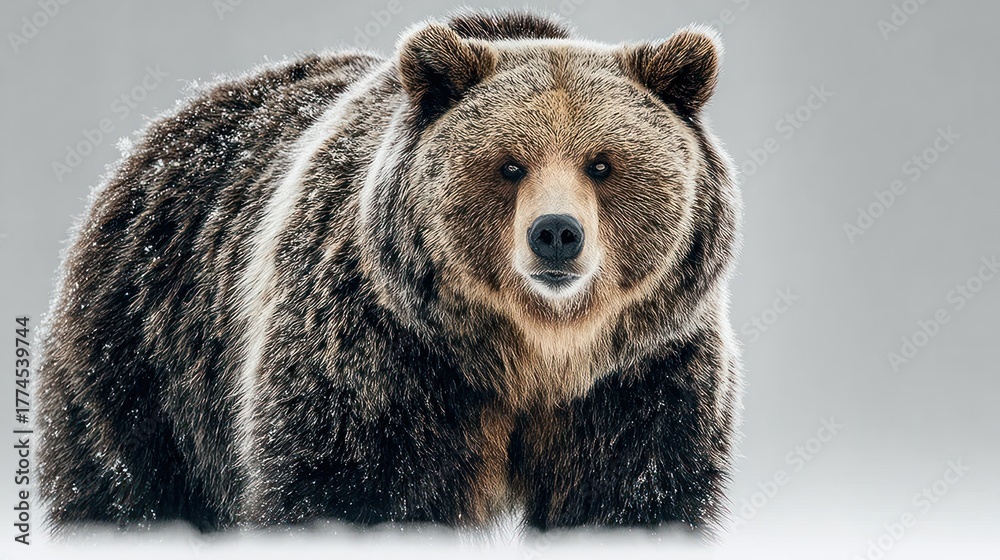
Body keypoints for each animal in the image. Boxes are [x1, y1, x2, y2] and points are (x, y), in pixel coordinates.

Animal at [36, 9, 742, 535]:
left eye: (602, 163)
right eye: (509, 164)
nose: (556, 235)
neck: (533, 355)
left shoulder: (640, 373)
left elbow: (632, 490)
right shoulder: (382, 355)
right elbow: (355, 487)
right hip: (146, 360)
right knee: (124, 482)